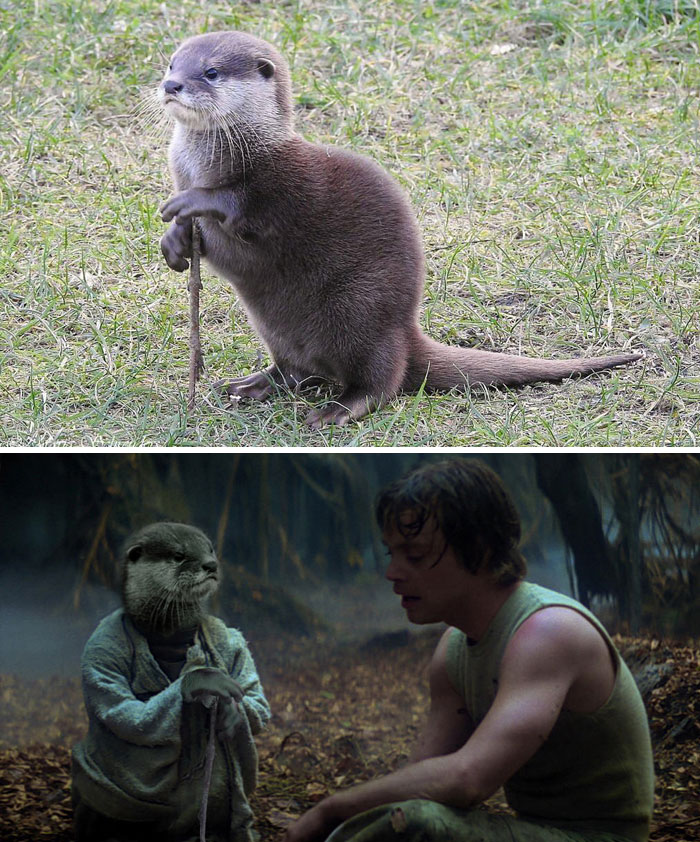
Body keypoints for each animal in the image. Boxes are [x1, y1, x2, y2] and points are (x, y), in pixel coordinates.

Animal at [72, 522, 270, 842]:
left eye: (210, 549)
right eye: (179, 555)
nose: (211, 565)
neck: (170, 632)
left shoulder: (233, 639)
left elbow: (256, 701)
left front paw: (230, 713)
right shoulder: (101, 649)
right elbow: (121, 712)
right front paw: (203, 680)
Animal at [158, 31, 642, 429]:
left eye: (211, 72)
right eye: (171, 63)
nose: (171, 85)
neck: (212, 160)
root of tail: (406, 334)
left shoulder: (282, 184)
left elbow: (242, 206)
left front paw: (194, 202)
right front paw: (174, 242)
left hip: (360, 308)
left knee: (380, 381)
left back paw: (338, 409)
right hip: (279, 328)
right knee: (296, 371)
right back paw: (249, 385)